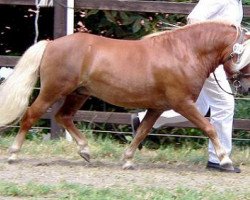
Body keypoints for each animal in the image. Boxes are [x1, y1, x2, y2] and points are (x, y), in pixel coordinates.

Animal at [0, 21, 250, 170]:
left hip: (78, 94)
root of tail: (51, 44)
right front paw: (225, 160)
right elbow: (209, 127)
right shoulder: (183, 103)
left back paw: (85, 150)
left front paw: (128, 160)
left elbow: (142, 132)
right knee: (30, 116)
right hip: (53, 91)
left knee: (63, 117)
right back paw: (13, 154)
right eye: (245, 57)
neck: (183, 53)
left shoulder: (158, 107)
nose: (245, 89)